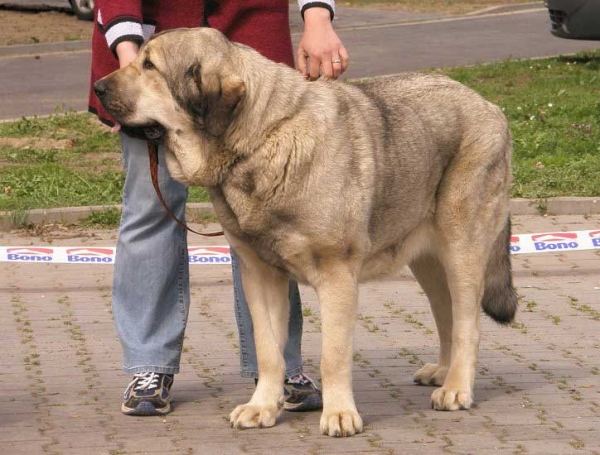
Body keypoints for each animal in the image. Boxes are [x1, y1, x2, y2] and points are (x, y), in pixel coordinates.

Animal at [96, 26, 516, 436]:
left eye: (150, 66)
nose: (98, 88)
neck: (260, 139)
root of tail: (491, 107)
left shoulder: (337, 277)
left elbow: (333, 356)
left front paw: (340, 415)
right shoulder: (260, 277)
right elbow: (268, 350)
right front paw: (262, 407)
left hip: (461, 247)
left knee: (466, 321)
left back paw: (457, 387)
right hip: (427, 260)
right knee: (446, 312)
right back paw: (444, 372)